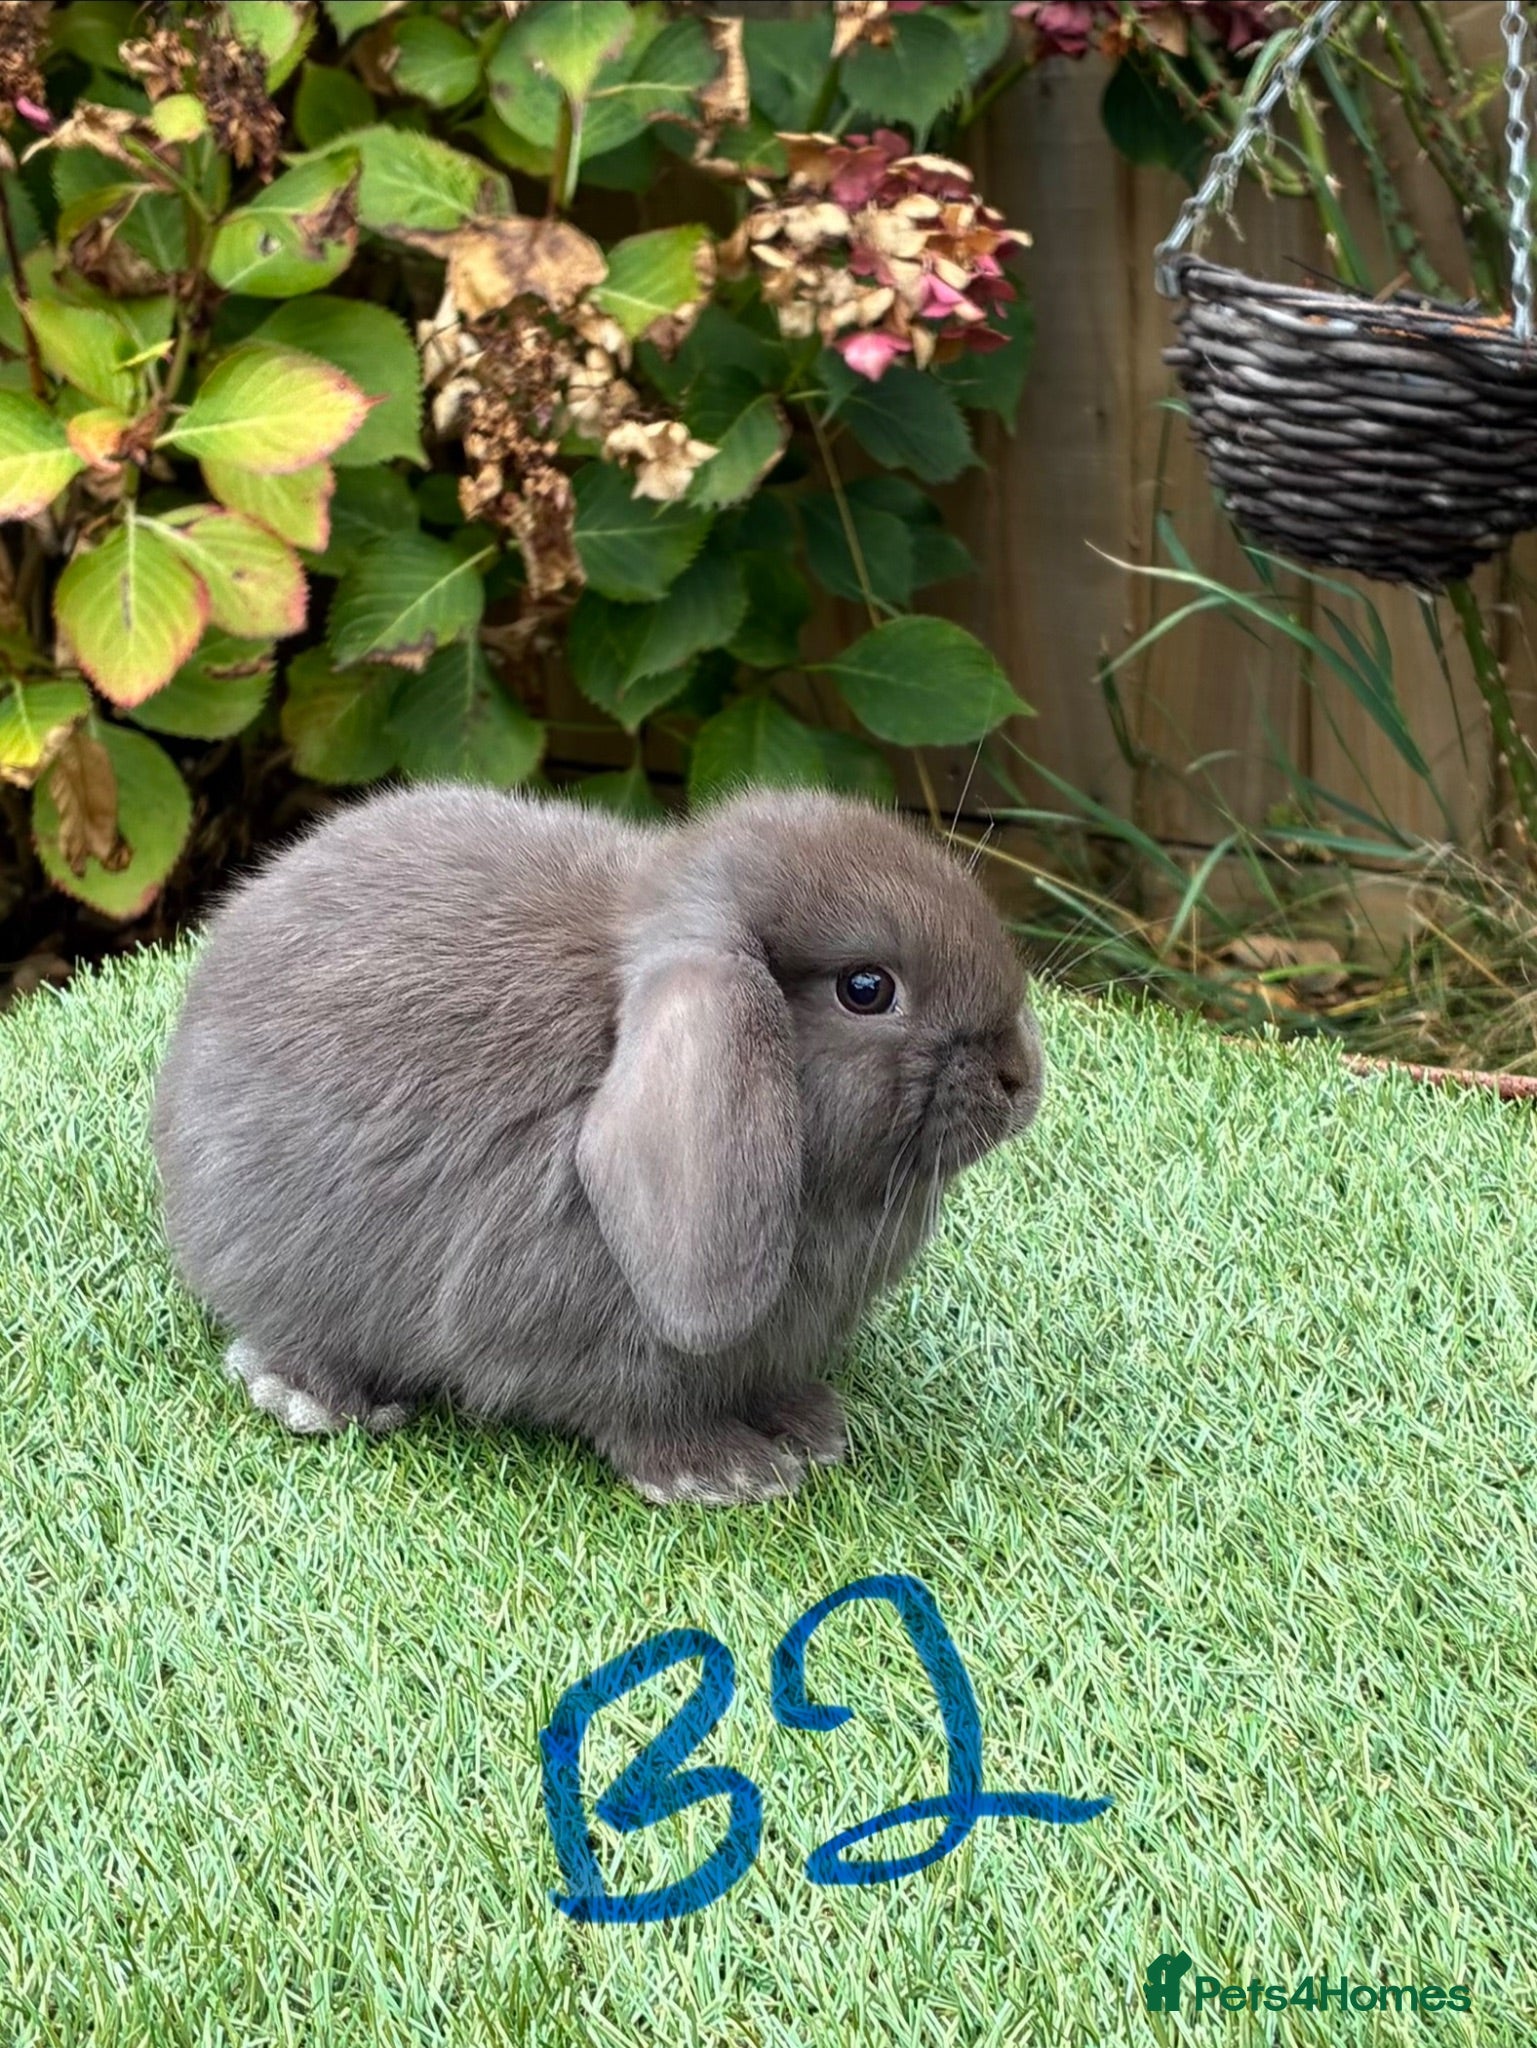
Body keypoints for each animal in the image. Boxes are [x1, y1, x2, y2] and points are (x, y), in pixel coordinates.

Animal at [151, 781, 1045, 1506]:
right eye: (865, 989)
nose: (1019, 1079)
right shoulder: (598, 1345)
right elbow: (638, 1413)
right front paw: (727, 1474)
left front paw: (811, 1426)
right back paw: (316, 1399)